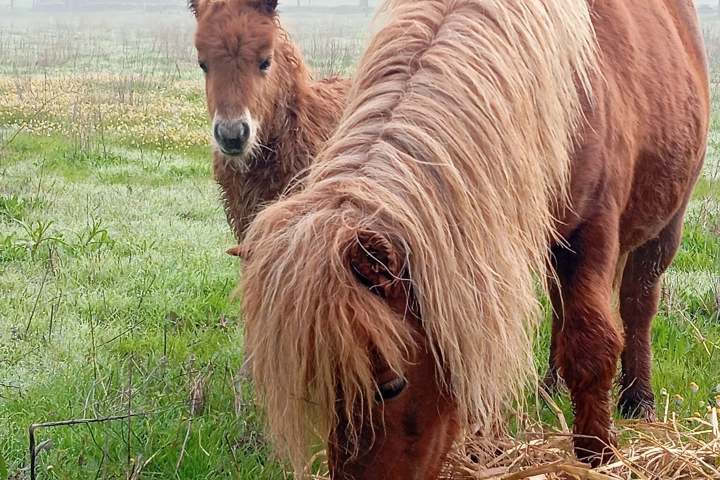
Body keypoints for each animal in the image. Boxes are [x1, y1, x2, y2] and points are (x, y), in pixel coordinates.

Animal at [238, 0, 709, 477]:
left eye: (392, 386)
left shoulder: (590, 235)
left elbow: (592, 345)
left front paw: (596, 455)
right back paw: (551, 386)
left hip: (664, 224)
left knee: (637, 303)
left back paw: (638, 399)